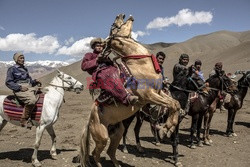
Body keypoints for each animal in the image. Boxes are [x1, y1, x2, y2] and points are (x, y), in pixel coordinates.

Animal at [80, 14, 182, 167]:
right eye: (114, 25)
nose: (120, 14)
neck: (140, 64)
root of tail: (89, 120)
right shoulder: (149, 95)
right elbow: (171, 104)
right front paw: (165, 129)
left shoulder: (159, 92)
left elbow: (175, 103)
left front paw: (167, 128)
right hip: (102, 137)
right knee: (95, 154)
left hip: (117, 132)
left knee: (110, 151)